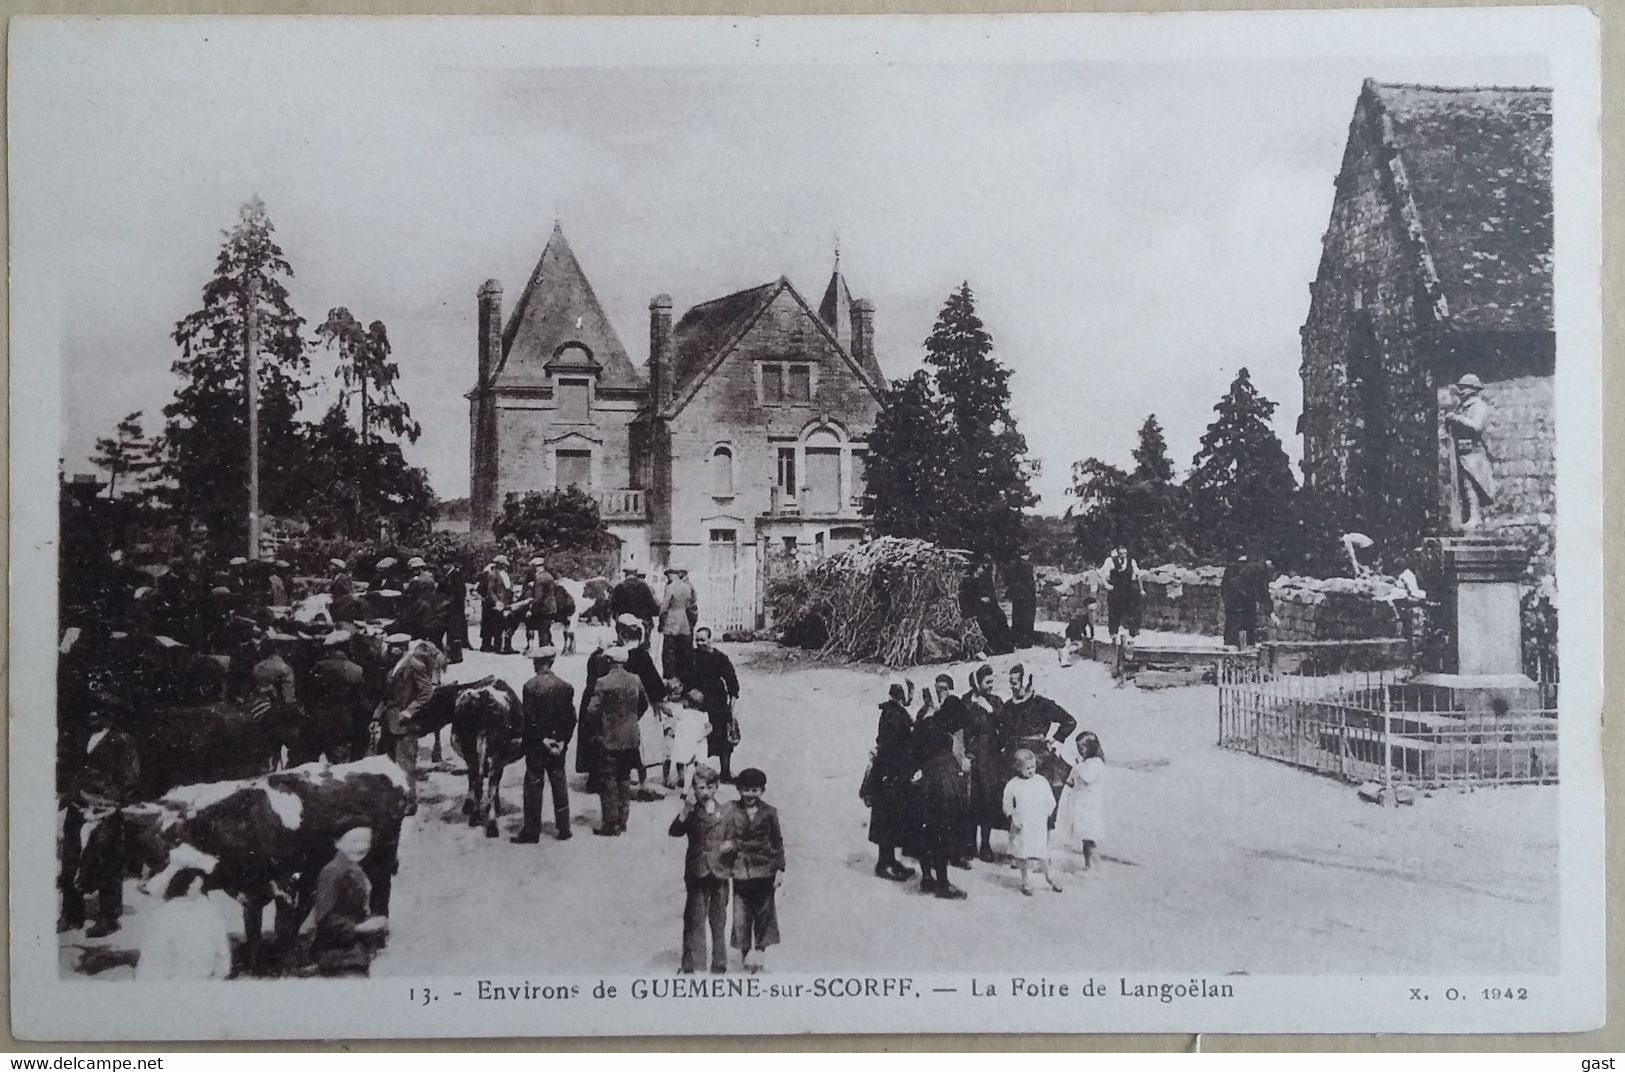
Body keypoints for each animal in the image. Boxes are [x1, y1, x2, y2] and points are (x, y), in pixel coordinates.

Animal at [115, 756, 406, 974]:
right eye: (167, 854)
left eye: (187, 867)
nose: (146, 888)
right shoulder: (251, 893)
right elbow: (252, 929)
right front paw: (256, 964)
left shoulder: (285, 885)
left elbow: (281, 925)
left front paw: (284, 965)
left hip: (381, 858)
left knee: (381, 893)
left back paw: (376, 939)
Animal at [412, 678, 520, 838]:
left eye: (435, 700)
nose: (414, 723)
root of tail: (484, 696)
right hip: (489, 752)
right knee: (485, 784)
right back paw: (488, 824)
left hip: (476, 752)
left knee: (480, 782)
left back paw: (481, 820)